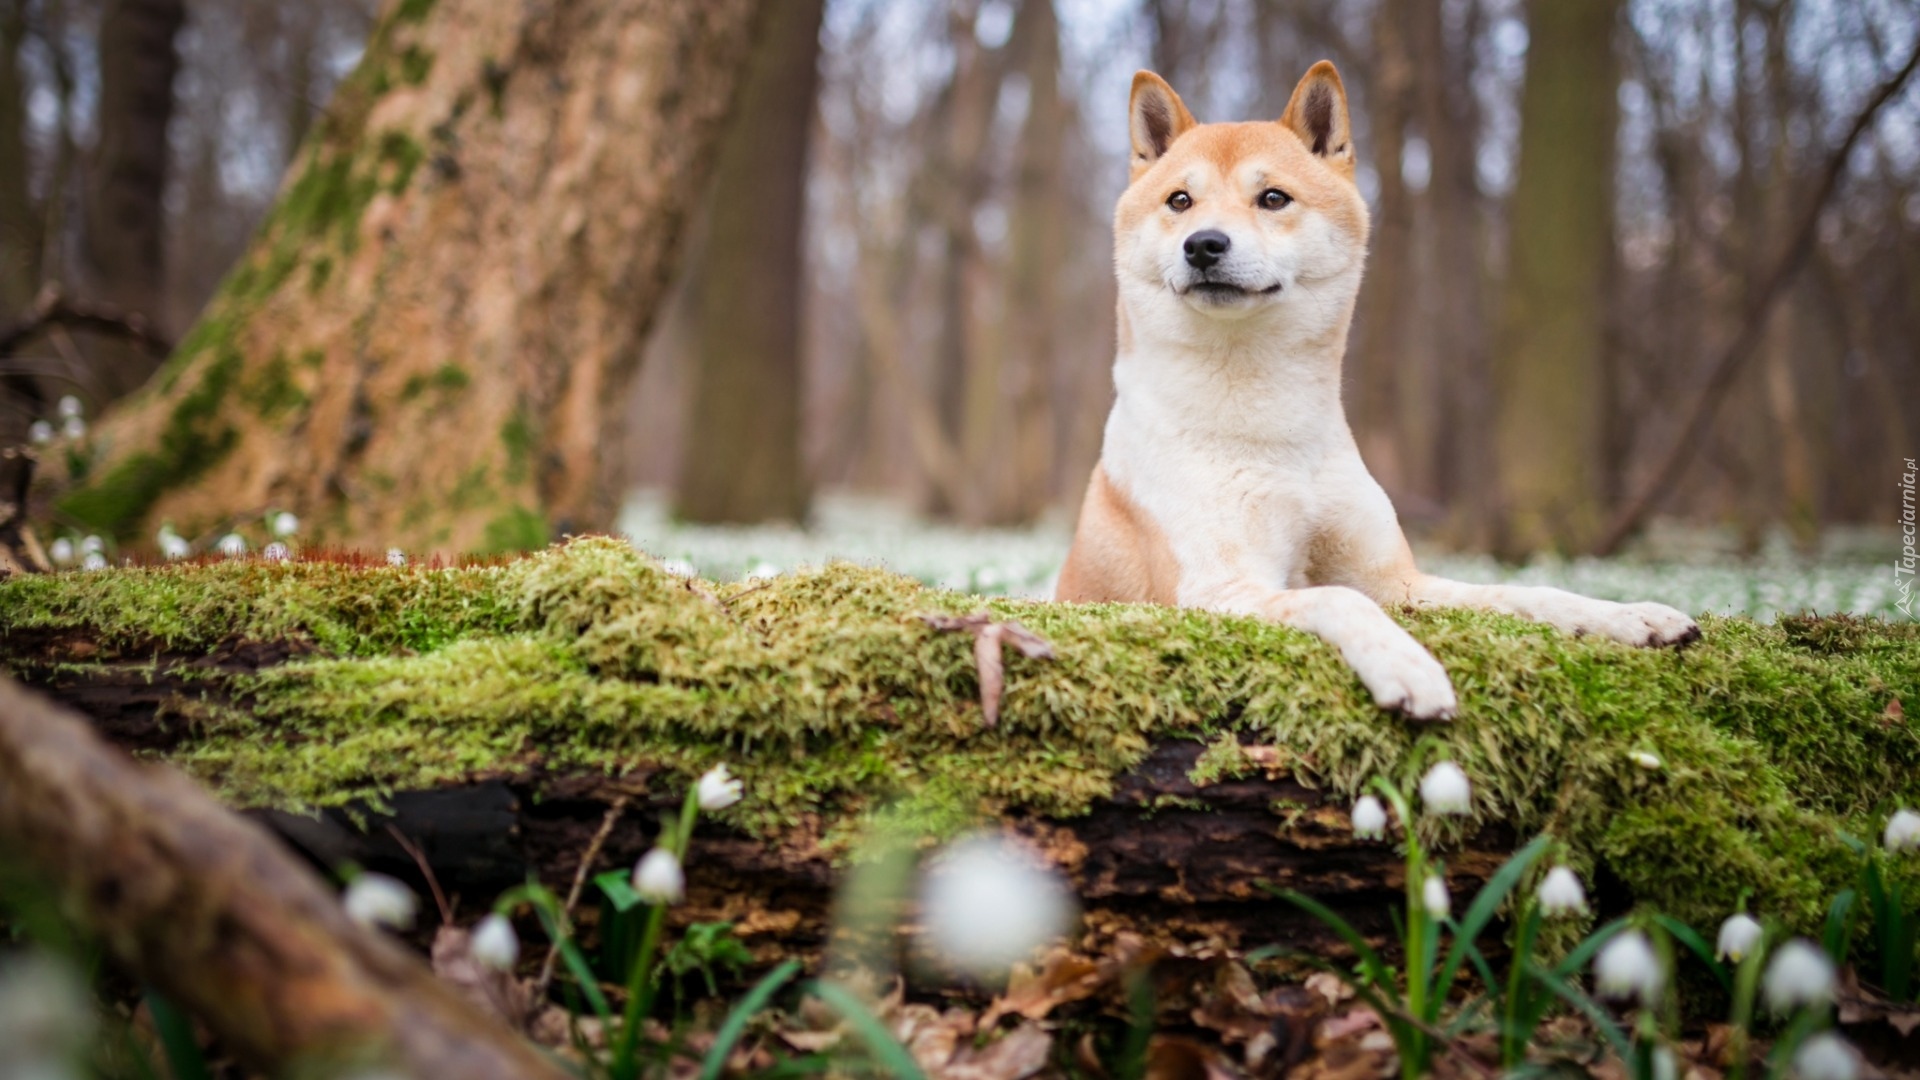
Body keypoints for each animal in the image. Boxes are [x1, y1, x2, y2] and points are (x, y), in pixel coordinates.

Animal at [1059, 58, 1704, 714]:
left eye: (1273, 198)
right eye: (1180, 201)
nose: (1204, 245)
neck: (1267, 421)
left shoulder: (1396, 580)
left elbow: (1521, 593)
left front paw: (1628, 616)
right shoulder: (1215, 590)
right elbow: (1340, 598)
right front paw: (1405, 664)